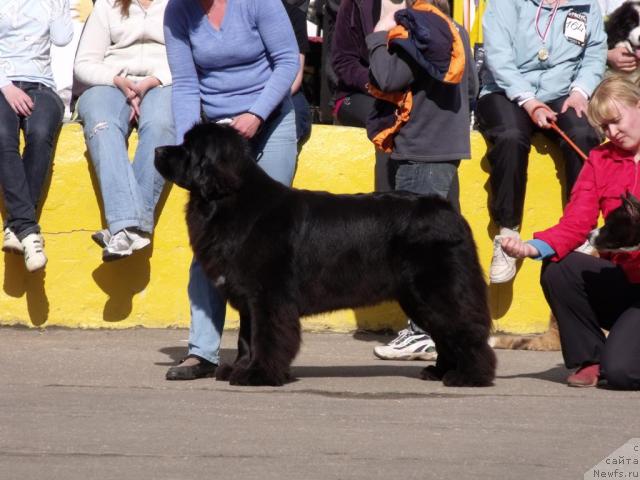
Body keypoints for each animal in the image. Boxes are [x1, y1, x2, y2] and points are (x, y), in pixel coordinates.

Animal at [155, 123, 496, 386]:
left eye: (187, 148)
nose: (158, 150)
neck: (228, 200)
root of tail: (448, 210)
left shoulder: (268, 297)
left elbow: (266, 337)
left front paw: (258, 374)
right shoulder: (248, 298)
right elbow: (246, 338)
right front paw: (238, 369)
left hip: (438, 291)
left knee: (464, 330)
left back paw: (469, 376)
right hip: (417, 297)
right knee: (444, 334)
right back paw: (440, 371)